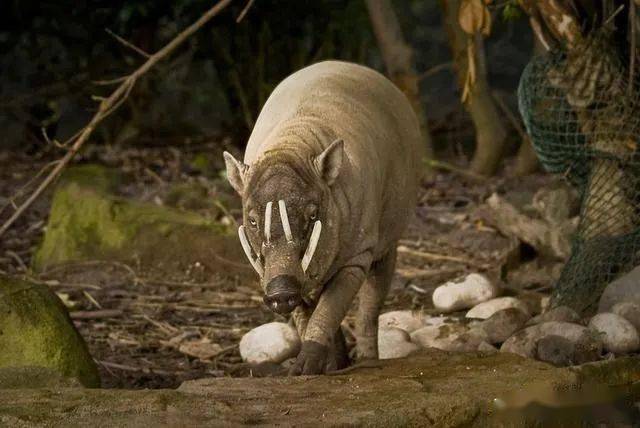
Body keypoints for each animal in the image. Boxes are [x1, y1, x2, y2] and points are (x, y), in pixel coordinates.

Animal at [222, 60, 422, 374]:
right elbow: (308, 314)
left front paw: (304, 368)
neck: (291, 145)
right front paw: (314, 368)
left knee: (371, 302)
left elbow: (330, 308)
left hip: (388, 237)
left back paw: (368, 358)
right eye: (252, 220)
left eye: (313, 213)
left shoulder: (357, 257)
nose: (280, 292)